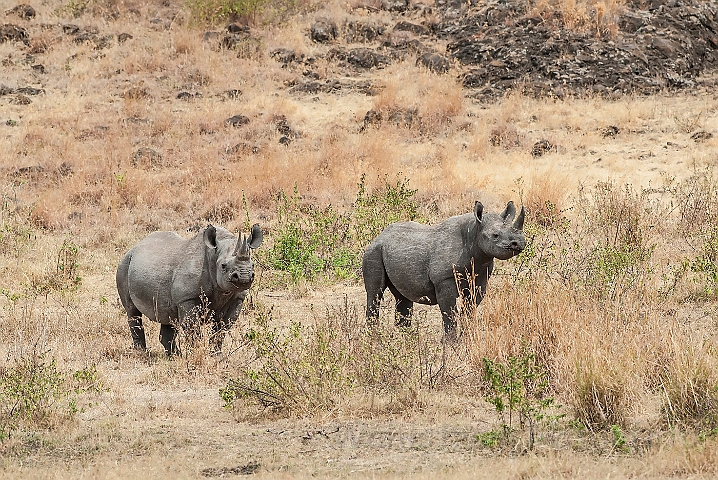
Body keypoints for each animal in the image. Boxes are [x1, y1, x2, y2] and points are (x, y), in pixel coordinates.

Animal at [116, 223, 262, 354]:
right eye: (223, 266)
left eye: (253, 265)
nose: (244, 277)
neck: (213, 255)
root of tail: (135, 247)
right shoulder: (187, 298)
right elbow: (193, 329)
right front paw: (195, 354)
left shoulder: (237, 298)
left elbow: (222, 329)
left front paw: (216, 356)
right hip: (124, 264)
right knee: (132, 311)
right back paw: (142, 353)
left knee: (168, 317)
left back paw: (174, 356)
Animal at [366, 201, 528, 340]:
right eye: (495, 235)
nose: (519, 242)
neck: (474, 232)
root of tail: (380, 235)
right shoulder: (444, 279)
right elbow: (449, 312)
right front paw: (450, 343)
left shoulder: (480, 279)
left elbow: (469, 310)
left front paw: (466, 339)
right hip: (374, 250)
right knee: (375, 293)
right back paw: (374, 339)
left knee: (403, 297)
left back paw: (405, 340)